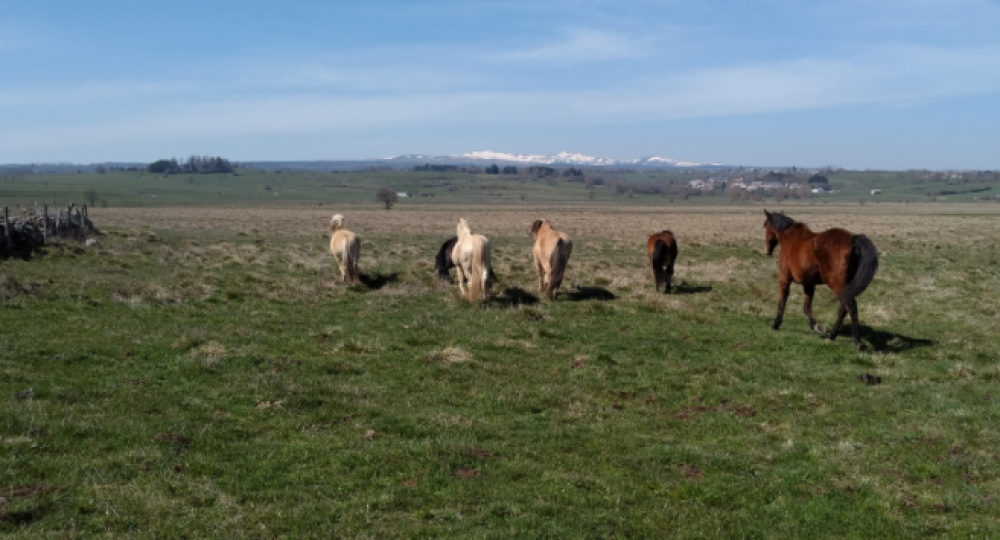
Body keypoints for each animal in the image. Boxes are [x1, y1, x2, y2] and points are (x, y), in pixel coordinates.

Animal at [764, 209, 876, 352]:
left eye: (765, 226)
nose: (767, 250)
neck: (790, 239)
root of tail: (853, 240)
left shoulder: (784, 279)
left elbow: (782, 302)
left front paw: (776, 324)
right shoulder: (808, 283)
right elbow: (806, 307)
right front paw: (817, 327)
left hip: (837, 284)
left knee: (850, 306)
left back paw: (858, 342)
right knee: (843, 308)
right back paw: (832, 335)